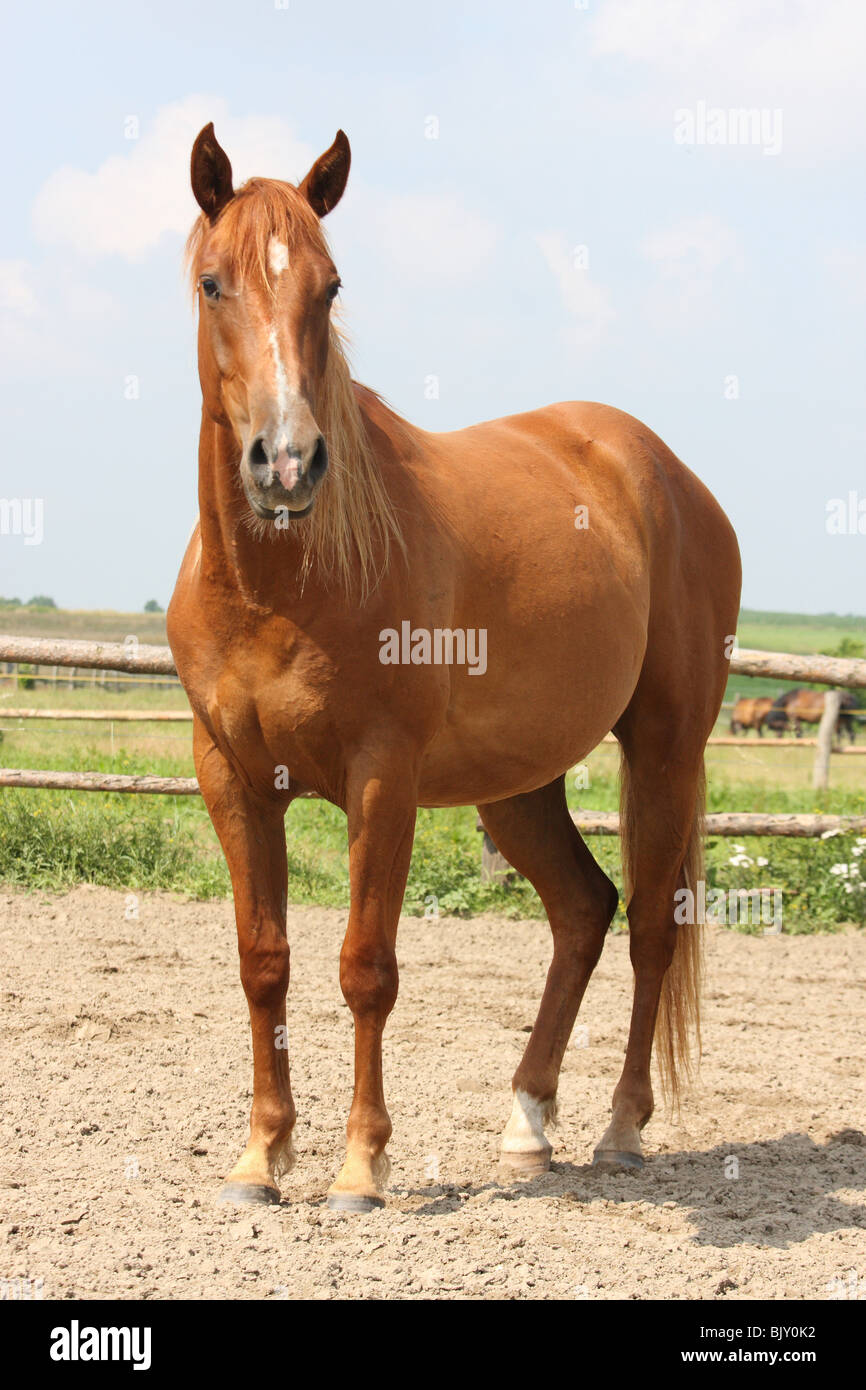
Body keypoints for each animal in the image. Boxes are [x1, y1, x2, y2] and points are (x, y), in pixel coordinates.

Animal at [167, 123, 742, 1212]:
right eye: (214, 283)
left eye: (331, 285)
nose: (287, 463)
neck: (280, 585)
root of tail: (661, 470)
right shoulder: (231, 777)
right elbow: (263, 962)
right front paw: (260, 1159)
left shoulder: (380, 778)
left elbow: (366, 967)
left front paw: (359, 1166)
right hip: (517, 785)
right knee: (582, 910)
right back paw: (526, 1126)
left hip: (663, 750)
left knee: (651, 924)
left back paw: (618, 1129)